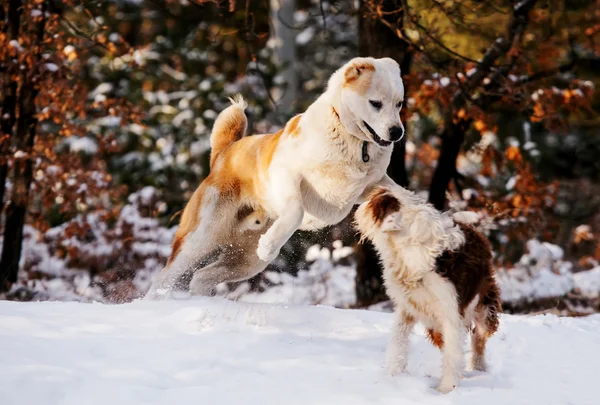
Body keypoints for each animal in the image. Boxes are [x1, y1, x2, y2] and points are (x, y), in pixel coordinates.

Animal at [145, 56, 406, 296]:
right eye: (375, 103)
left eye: (399, 104)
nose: (397, 132)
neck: (352, 140)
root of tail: (222, 154)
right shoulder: (287, 173)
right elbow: (296, 210)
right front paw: (269, 246)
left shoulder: (367, 188)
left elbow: (400, 194)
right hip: (203, 236)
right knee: (166, 276)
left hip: (245, 260)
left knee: (202, 276)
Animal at [354, 186, 500, 392]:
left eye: (375, 203)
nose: (359, 206)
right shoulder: (406, 308)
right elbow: (398, 341)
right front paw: (394, 376)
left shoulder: (451, 312)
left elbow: (452, 353)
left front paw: (447, 389)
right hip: (434, 325)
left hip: (485, 308)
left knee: (478, 339)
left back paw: (479, 367)